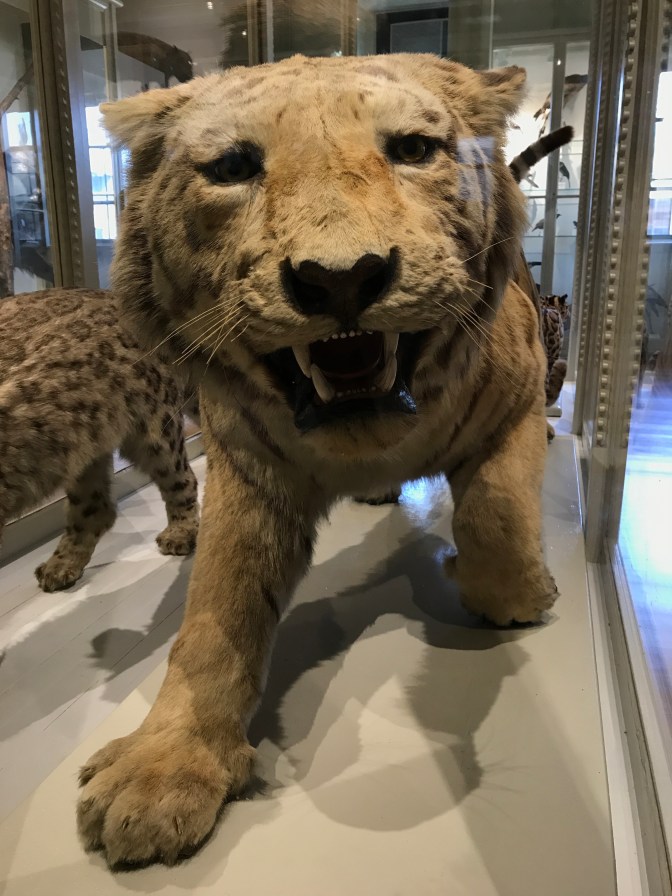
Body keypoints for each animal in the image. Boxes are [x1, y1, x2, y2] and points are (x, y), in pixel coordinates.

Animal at [0, 288, 200, 591]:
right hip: (82, 445)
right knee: (95, 507)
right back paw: (61, 565)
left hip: (156, 432)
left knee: (183, 480)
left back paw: (180, 533)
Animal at [76, 54, 559, 869]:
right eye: (233, 167)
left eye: (413, 150)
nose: (341, 278)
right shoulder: (247, 468)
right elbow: (216, 613)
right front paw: (163, 769)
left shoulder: (519, 399)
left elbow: (496, 514)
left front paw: (509, 593)